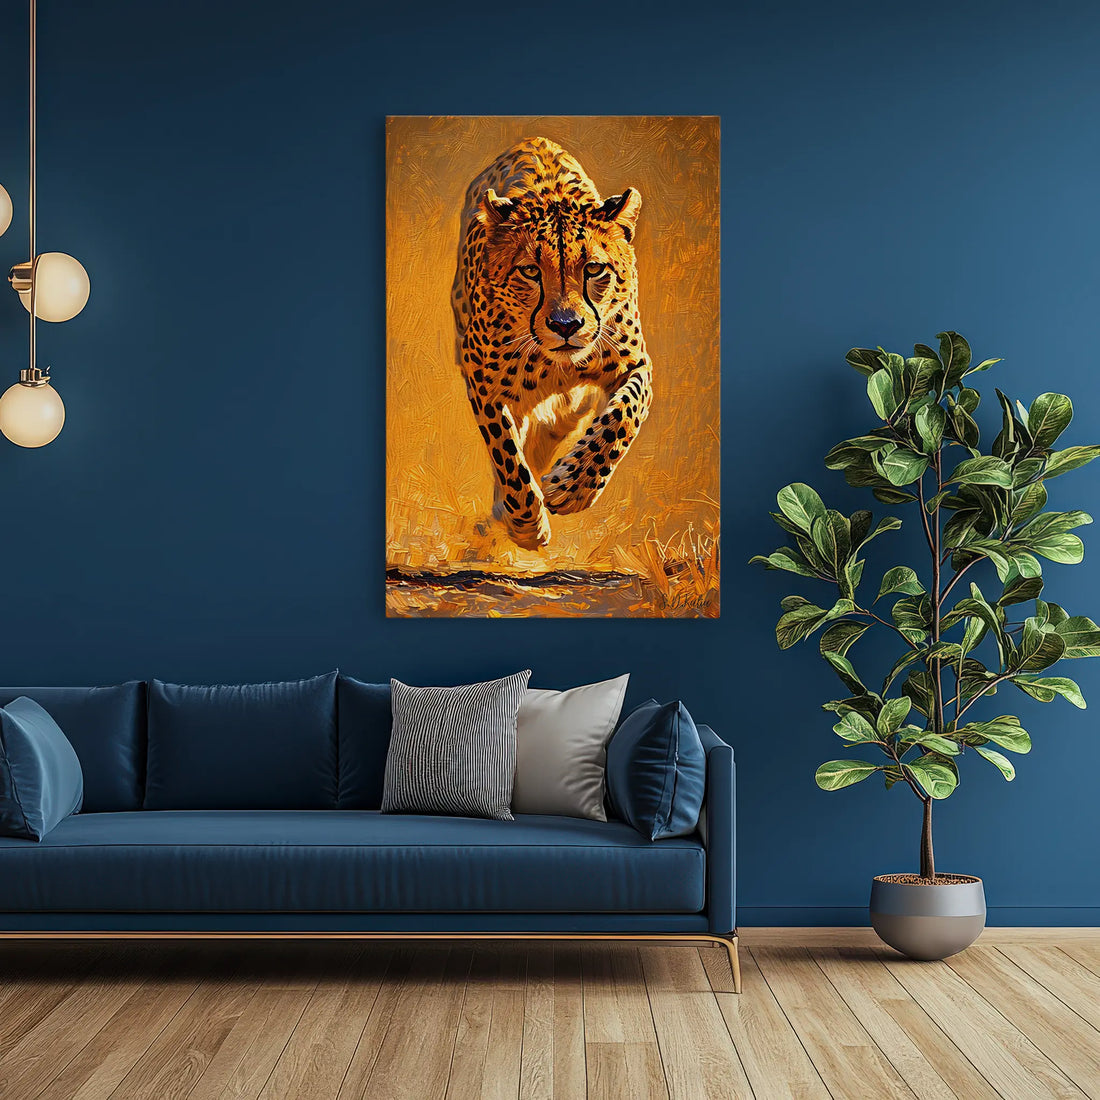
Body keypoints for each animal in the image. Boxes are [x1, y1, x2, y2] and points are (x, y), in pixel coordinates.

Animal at [451, 136, 653, 550]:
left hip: (568, 413)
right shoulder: (483, 386)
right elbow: (507, 457)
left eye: (594, 269)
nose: (565, 325)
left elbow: (623, 417)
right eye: (530, 270)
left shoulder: (636, 364)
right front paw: (527, 525)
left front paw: (571, 487)